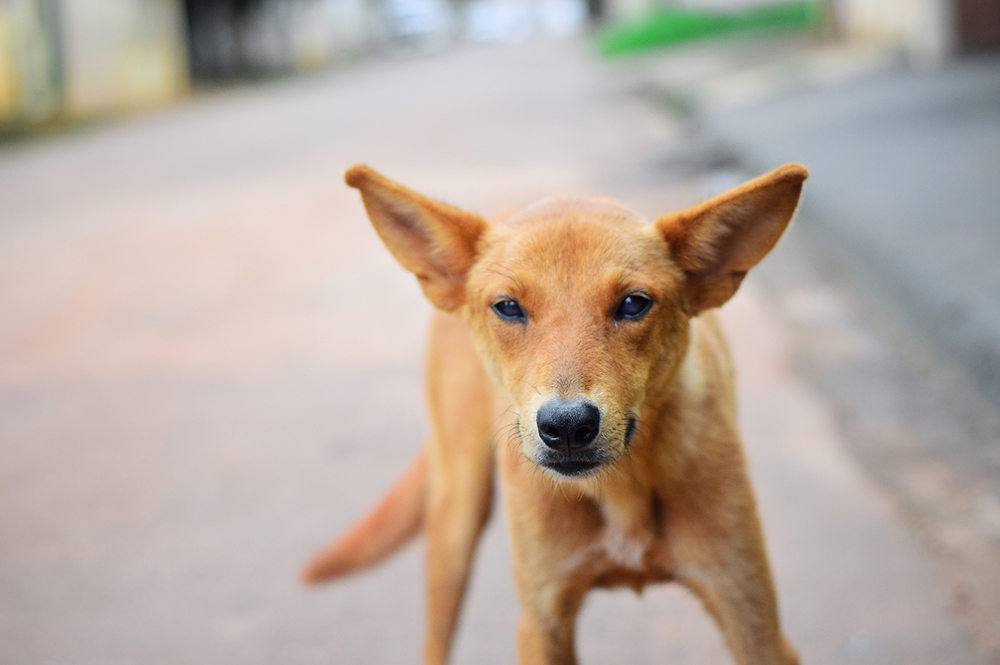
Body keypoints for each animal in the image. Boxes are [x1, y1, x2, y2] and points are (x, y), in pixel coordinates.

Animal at [302, 162, 804, 664]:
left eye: (633, 303)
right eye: (508, 307)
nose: (566, 427)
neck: (621, 492)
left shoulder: (753, 620)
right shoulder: (542, 622)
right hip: (454, 526)